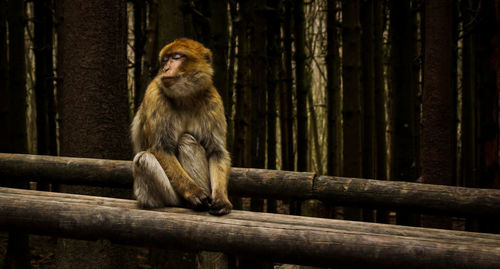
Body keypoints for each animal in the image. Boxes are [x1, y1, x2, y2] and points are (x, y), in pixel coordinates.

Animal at [131, 37, 232, 215]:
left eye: (177, 57)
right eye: (165, 60)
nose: (165, 68)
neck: (185, 98)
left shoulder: (214, 101)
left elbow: (217, 152)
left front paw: (221, 199)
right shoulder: (155, 96)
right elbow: (160, 149)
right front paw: (194, 192)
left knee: (187, 140)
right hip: (173, 197)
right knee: (143, 159)